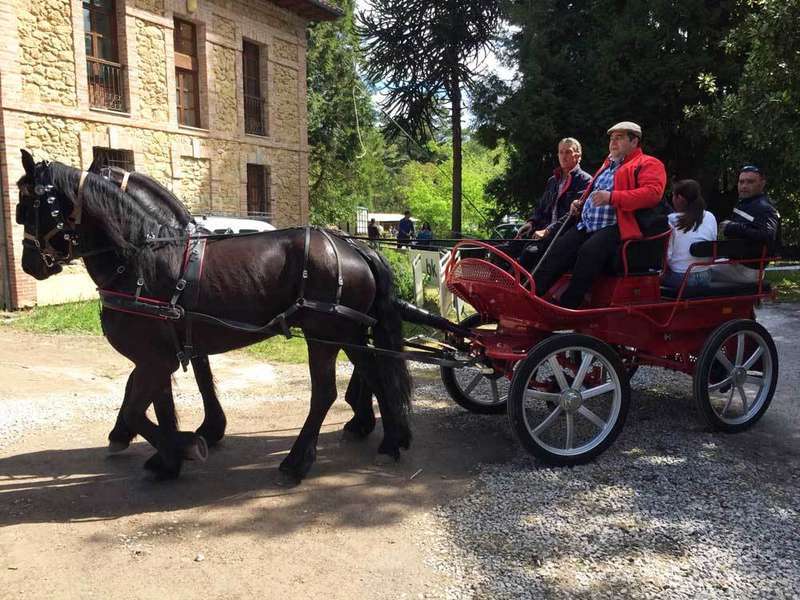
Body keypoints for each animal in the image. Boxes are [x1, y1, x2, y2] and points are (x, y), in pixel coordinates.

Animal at [17, 150, 412, 484]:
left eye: (27, 206)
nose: (29, 264)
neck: (139, 260)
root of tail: (352, 246)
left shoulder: (155, 358)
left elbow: (135, 409)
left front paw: (183, 446)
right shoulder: (161, 355)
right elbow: (158, 403)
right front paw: (168, 457)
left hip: (323, 335)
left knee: (325, 393)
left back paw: (298, 461)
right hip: (350, 333)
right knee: (377, 375)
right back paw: (391, 440)